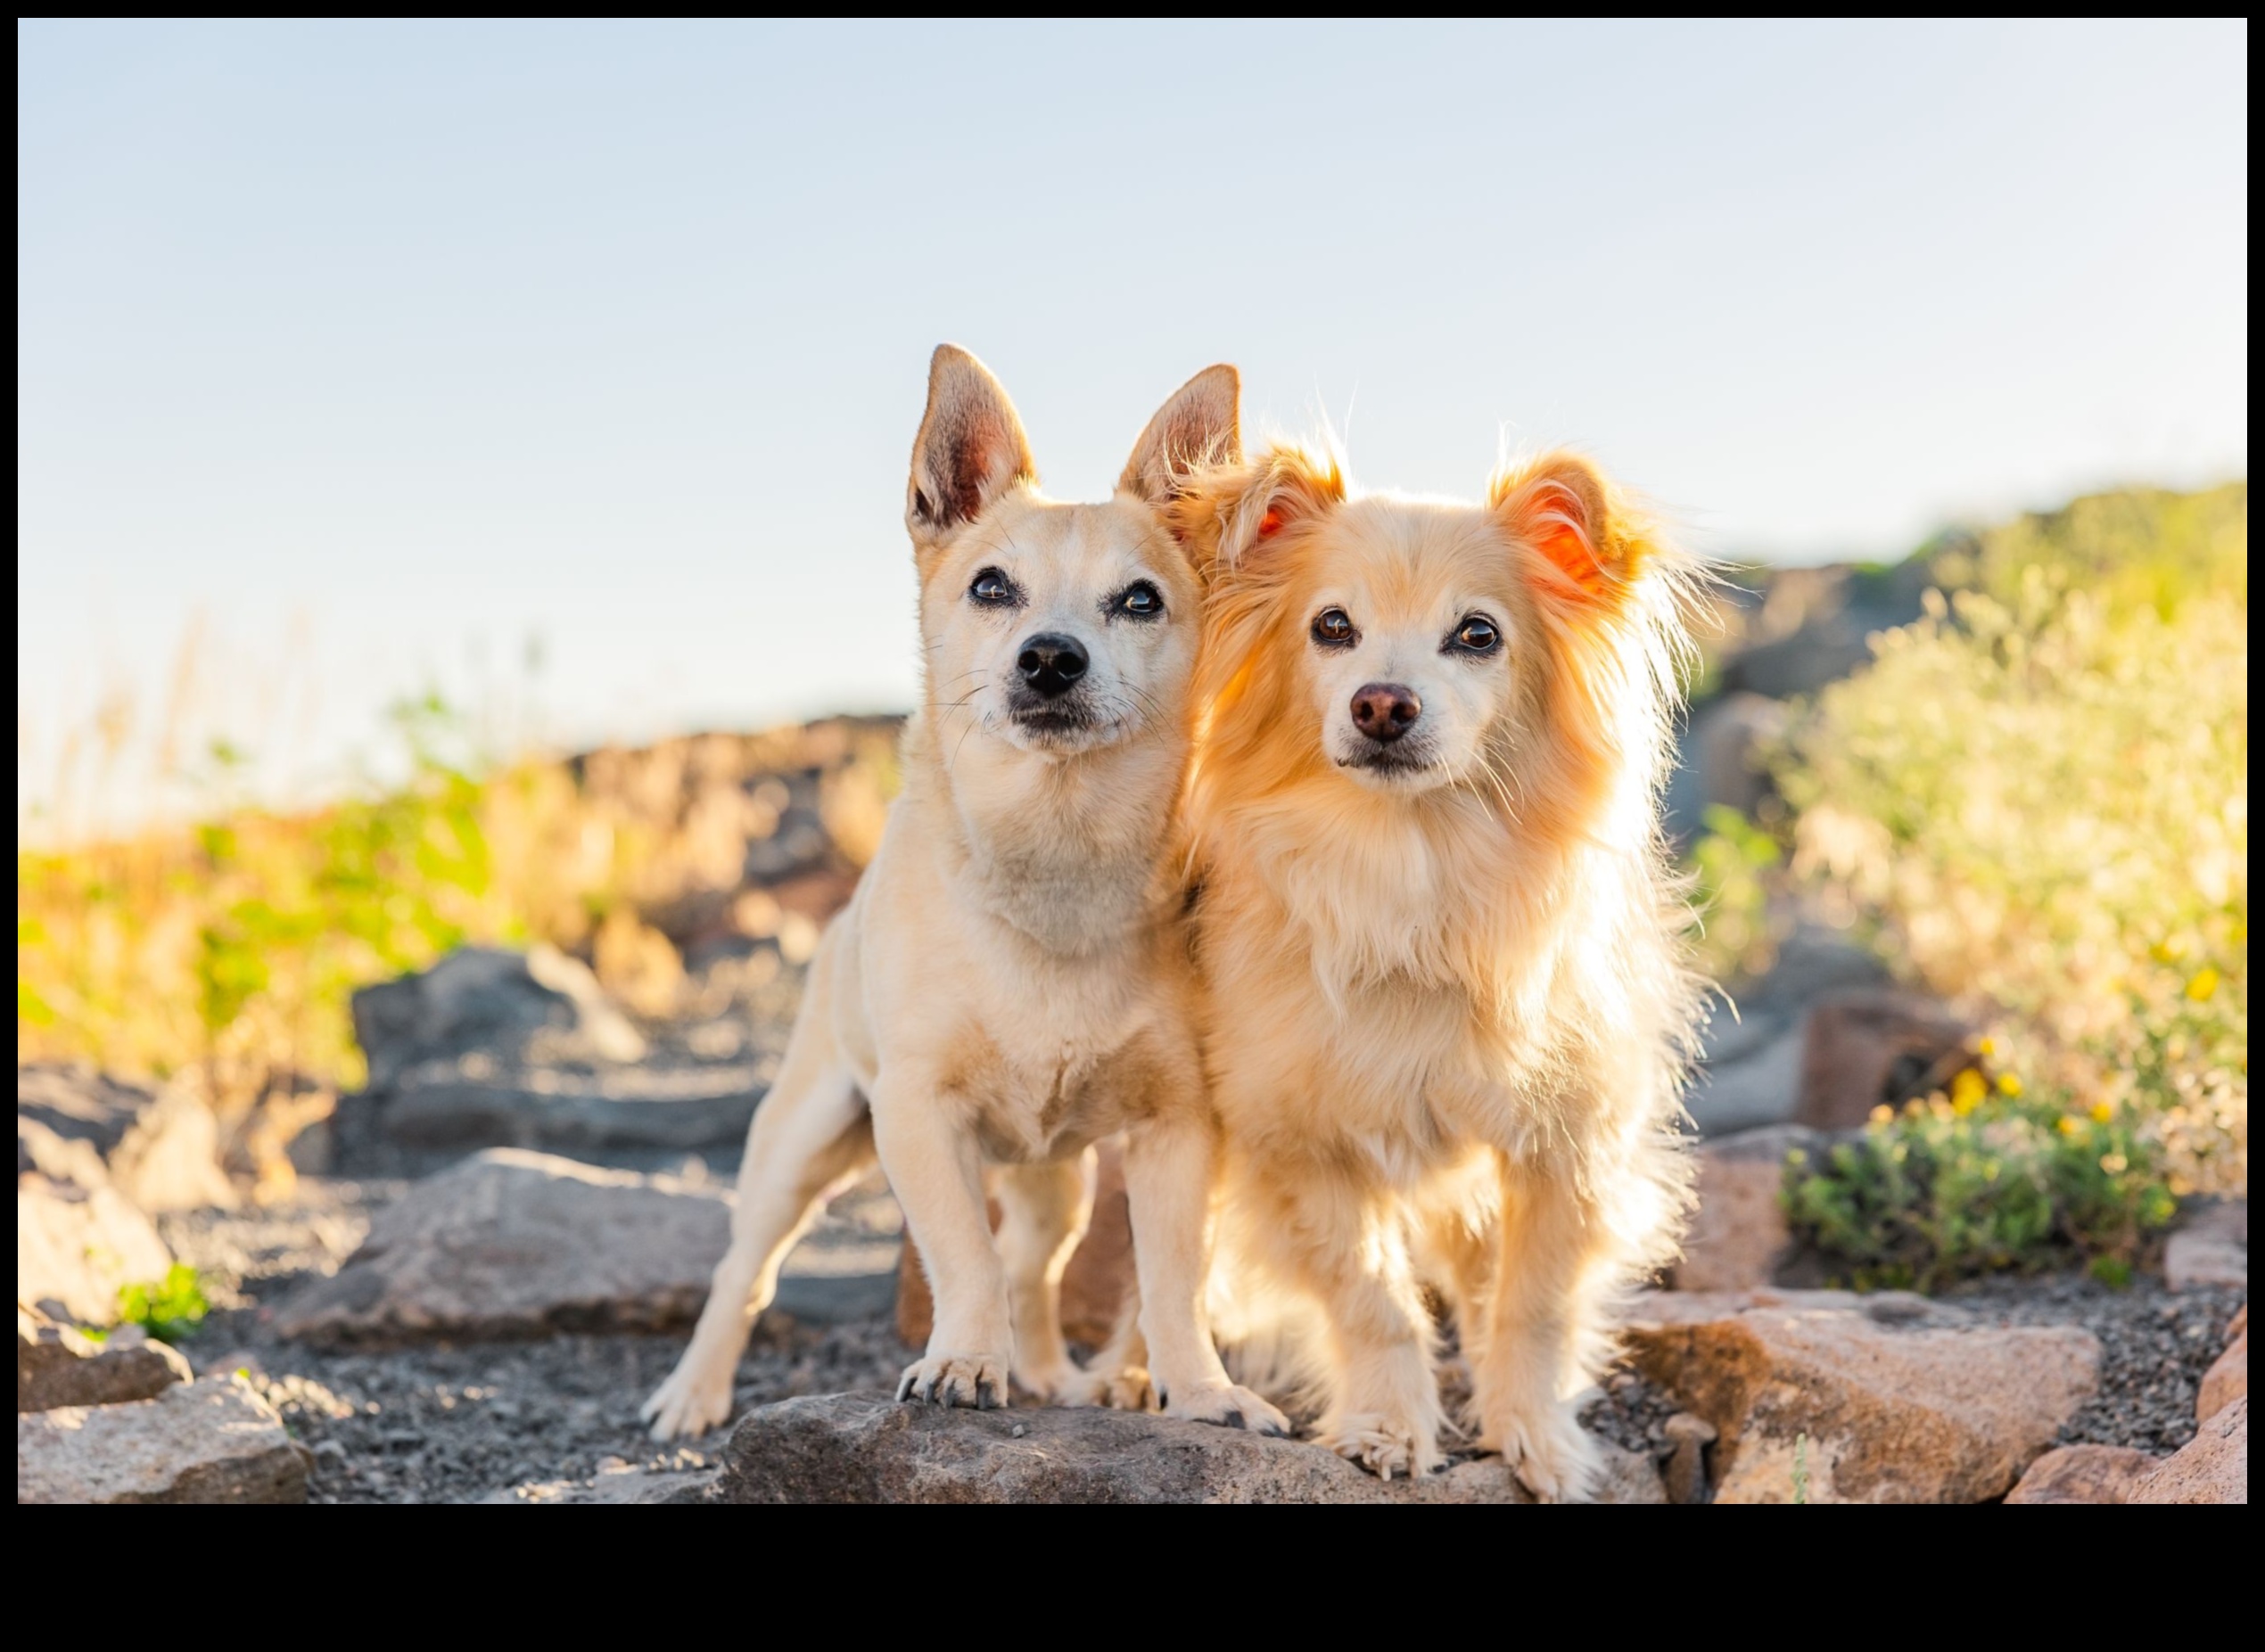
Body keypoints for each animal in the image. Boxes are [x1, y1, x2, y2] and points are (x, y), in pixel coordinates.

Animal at [647, 350, 1295, 1439]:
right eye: (992, 587)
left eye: (1139, 601)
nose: (1050, 655)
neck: (1056, 860)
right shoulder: (917, 1116)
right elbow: (961, 1257)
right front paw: (959, 1362)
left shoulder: (1177, 1131)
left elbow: (1171, 1280)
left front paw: (1199, 1390)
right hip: (800, 1145)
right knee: (747, 1272)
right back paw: (692, 1395)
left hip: (1056, 1175)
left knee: (1036, 1264)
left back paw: (1053, 1372)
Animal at [1168, 436, 1703, 1493]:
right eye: (1331, 626)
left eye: (1477, 634)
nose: (1382, 701)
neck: (1412, 872)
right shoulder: (1299, 1143)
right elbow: (1368, 1296)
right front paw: (1387, 1424)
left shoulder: (1564, 1145)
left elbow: (1533, 1305)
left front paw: (1533, 1434)